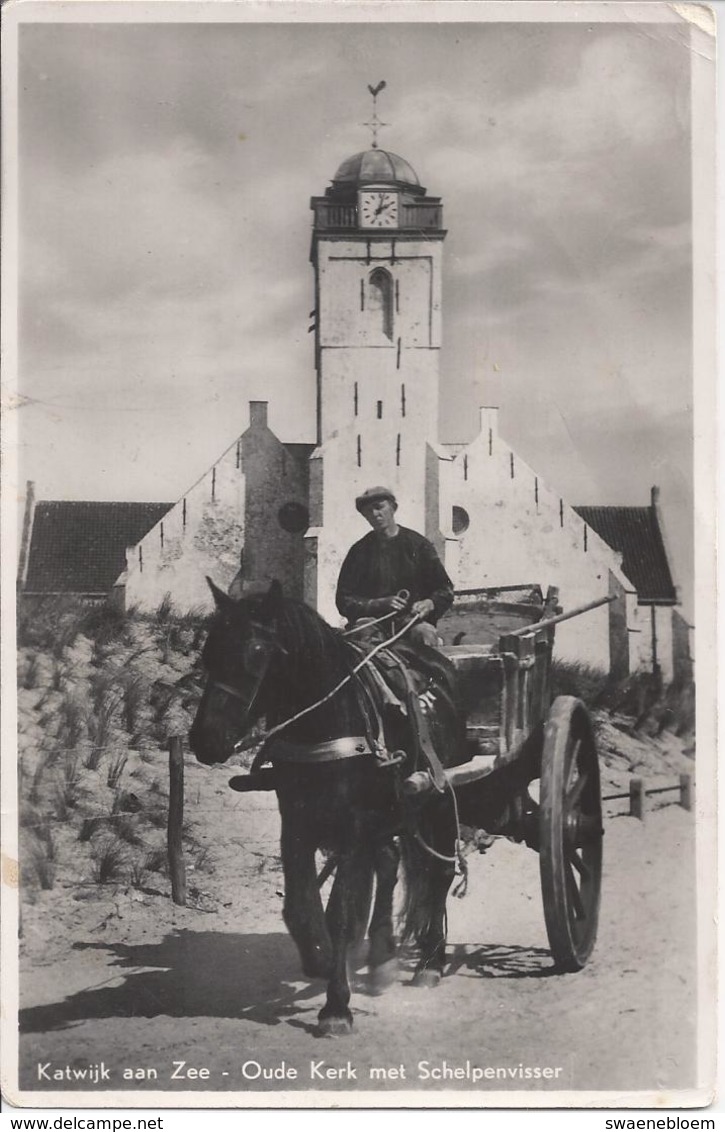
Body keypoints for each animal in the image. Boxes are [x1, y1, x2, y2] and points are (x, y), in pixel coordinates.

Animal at [190, 584, 466, 1036]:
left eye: (258, 652)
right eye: (209, 652)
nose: (205, 740)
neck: (326, 722)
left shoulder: (352, 826)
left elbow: (340, 913)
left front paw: (336, 1006)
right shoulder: (296, 822)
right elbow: (300, 905)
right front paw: (319, 958)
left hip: (439, 798)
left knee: (438, 872)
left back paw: (430, 961)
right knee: (389, 864)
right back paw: (382, 957)